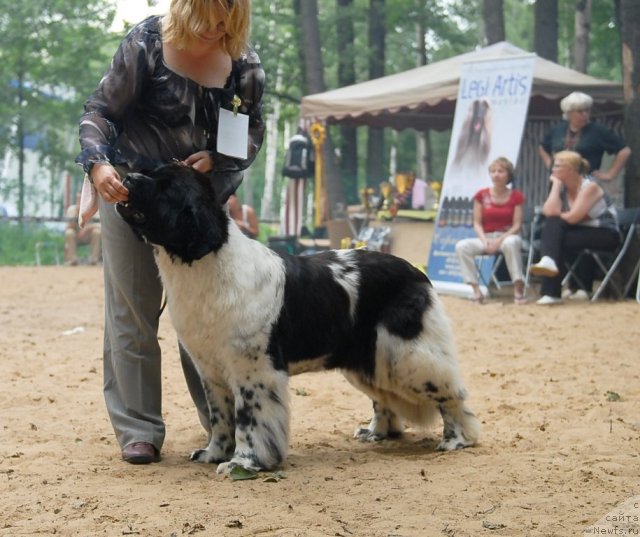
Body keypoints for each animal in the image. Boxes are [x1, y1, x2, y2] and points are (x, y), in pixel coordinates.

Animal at [115, 163, 478, 474]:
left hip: (407, 355)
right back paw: (377, 432)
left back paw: (457, 439)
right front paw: (213, 453)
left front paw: (244, 463)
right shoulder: (212, 370)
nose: (127, 177)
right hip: (369, 360)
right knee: (384, 396)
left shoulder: (253, 370)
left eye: (166, 188)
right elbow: (221, 417)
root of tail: (417, 273)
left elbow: (248, 419)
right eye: (152, 172)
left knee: (452, 392)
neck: (206, 263)